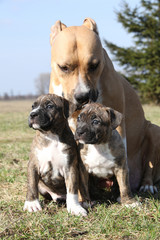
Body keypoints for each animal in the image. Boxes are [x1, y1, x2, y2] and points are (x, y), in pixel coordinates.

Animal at [48, 17, 160, 193]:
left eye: (94, 65)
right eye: (64, 67)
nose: (83, 96)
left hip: (154, 131)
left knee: (149, 167)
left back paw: (146, 185)